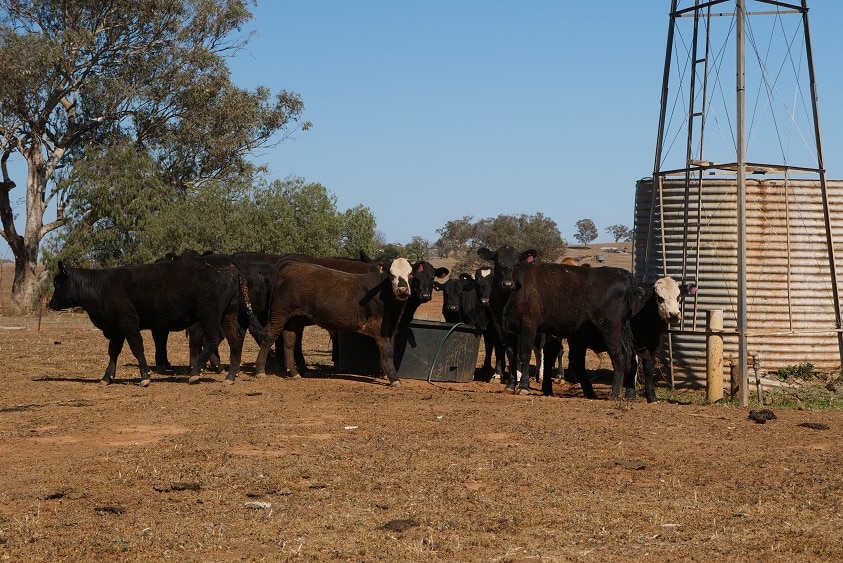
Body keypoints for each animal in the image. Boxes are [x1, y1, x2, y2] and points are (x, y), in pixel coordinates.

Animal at [47, 256, 264, 386]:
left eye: (57, 282)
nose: (50, 303)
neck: (102, 286)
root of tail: (230, 265)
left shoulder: (128, 323)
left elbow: (137, 348)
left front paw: (144, 376)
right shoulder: (116, 329)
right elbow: (113, 352)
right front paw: (106, 377)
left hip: (209, 313)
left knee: (214, 338)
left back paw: (194, 373)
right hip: (228, 313)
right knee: (235, 338)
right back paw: (230, 376)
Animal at [256, 256, 418, 386]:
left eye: (410, 274)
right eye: (392, 275)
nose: (403, 290)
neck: (384, 295)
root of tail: (290, 264)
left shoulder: (391, 329)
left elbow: (389, 351)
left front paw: (387, 374)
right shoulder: (378, 327)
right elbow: (388, 351)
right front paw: (394, 379)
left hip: (295, 318)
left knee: (290, 340)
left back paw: (294, 372)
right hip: (279, 313)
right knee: (270, 335)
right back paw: (260, 370)